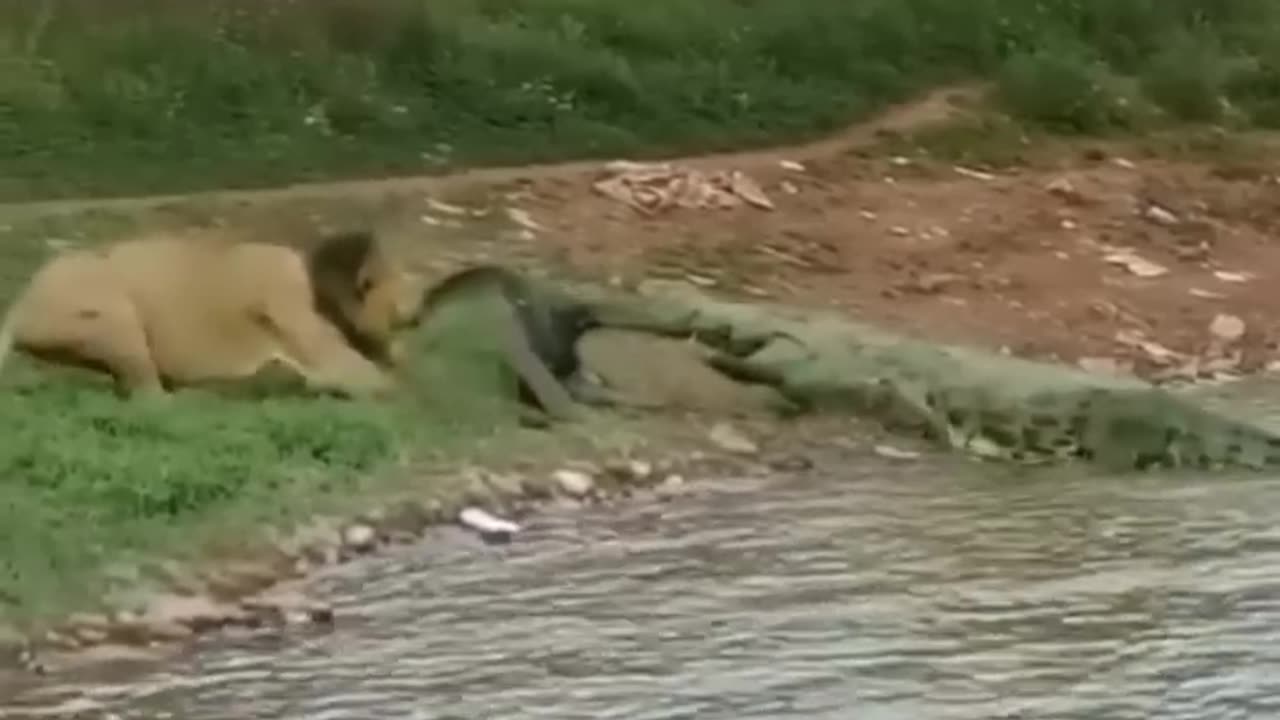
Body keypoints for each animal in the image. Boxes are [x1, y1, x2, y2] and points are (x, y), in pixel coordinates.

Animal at [0, 226, 430, 397]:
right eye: (383, 285)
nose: (415, 315)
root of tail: (17, 308)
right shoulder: (294, 313)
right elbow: (366, 377)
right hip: (101, 309)